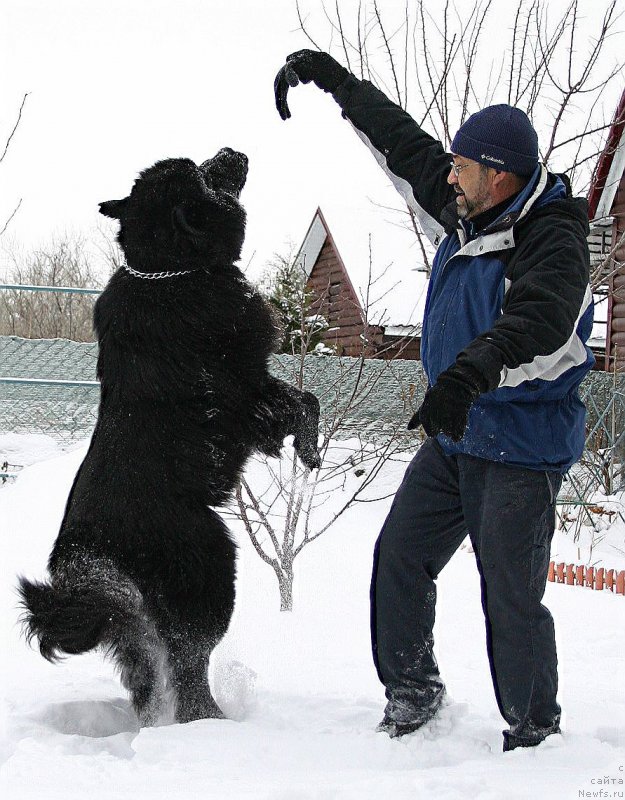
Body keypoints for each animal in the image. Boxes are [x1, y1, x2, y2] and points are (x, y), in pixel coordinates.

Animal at [18, 147, 322, 728]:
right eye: (200, 171)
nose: (231, 150)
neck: (168, 269)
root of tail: (90, 557)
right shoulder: (246, 388)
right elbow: (303, 403)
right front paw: (309, 450)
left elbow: (306, 400)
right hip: (210, 567)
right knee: (188, 661)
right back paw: (213, 724)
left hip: (136, 624)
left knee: (150, 675)